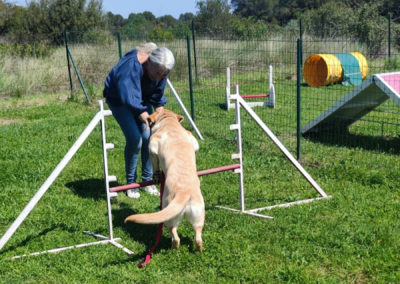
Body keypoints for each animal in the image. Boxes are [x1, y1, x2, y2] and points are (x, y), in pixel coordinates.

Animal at [125, 108, 205, 251]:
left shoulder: (152, 147)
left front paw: (156, 176)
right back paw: (199, 249)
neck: (169, 123)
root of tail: (184, 193)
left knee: (175, 235)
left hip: (169, 215)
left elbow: (154, 164)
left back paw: (173, 248)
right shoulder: (193, 139)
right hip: (199, 215)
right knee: (198, 236)